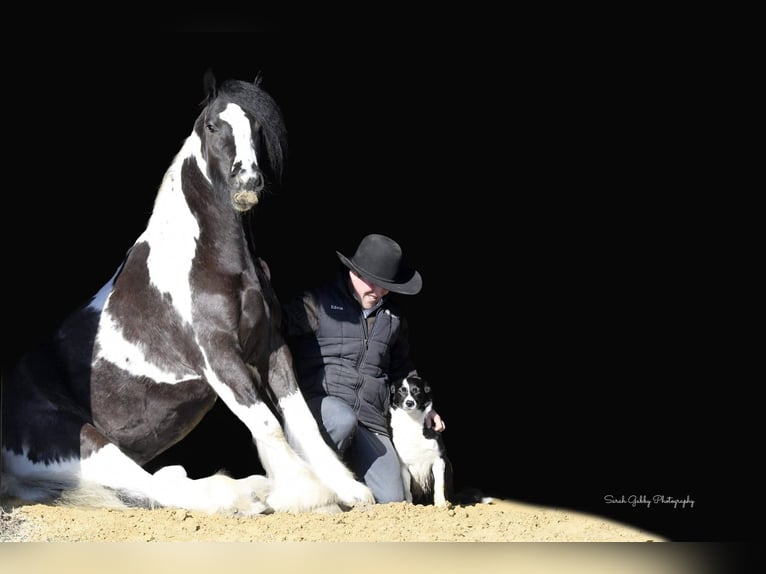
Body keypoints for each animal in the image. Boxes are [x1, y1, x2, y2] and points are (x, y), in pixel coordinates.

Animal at [0, 72, 376, 516]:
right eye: (213, 126)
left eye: (257, 127)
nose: (247, 184)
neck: (205, 261)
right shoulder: (219, 358)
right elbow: (268, 424)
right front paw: (308, 497)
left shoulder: (271, 347)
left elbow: (302, 421)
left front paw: (347, 490)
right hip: (87, 446)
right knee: (156, 489)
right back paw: (244, 497)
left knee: (165, 480)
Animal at [390, 378, 456, 508]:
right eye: (401, 391)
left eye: (417, 391)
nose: (409, 403)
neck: (412, 421)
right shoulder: (403, 465)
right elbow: (406, 489)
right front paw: (408, 505)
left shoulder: (439, 461)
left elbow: (439, 485)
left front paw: (441, 504)